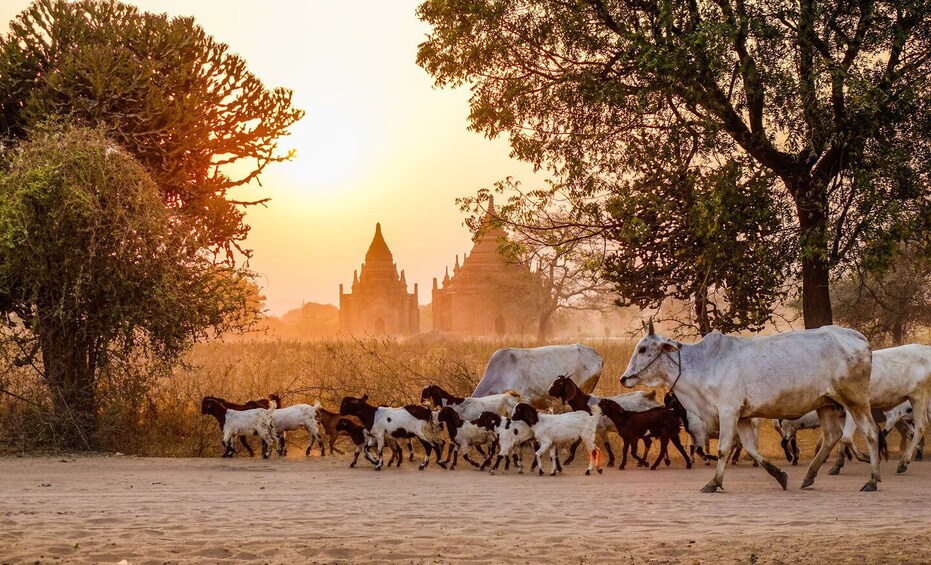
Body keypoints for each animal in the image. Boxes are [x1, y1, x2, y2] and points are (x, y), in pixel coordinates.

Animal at [624, 324, 876, 492]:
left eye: (643, 349)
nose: (624, 378)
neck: (702, 364)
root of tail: (858, 336)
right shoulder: (743, 416)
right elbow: (750, 448)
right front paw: (780, 476)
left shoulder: (728, 411)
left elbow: (723, 449)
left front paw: (713, 482)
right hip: (825, 404)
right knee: (832, 435)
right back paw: (809, 476)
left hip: (855, 400)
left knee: (871, 433)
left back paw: (872, 480)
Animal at [832, 344, 931, 476]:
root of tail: (925, 349)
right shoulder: (841, 415)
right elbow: (843, 440)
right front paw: (837, 466)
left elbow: (846, 438)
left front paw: (867, 458)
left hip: (918, 397)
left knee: (920, 426)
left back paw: (903, 462)